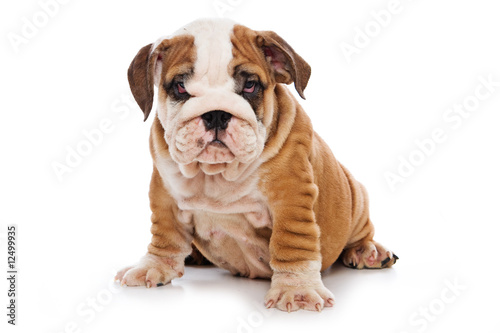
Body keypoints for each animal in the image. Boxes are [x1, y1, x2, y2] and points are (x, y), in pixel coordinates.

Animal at [114, 18, 398, 310]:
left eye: (250, 85)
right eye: (180, 87)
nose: (216, 114)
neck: (217, 174)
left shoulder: (291, 198)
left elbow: (291, 242)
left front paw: (297, 289)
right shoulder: (164, 193)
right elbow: (165, 235)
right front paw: (153, 266)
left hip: (356, 197)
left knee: (360, 232)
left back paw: (369, 251)